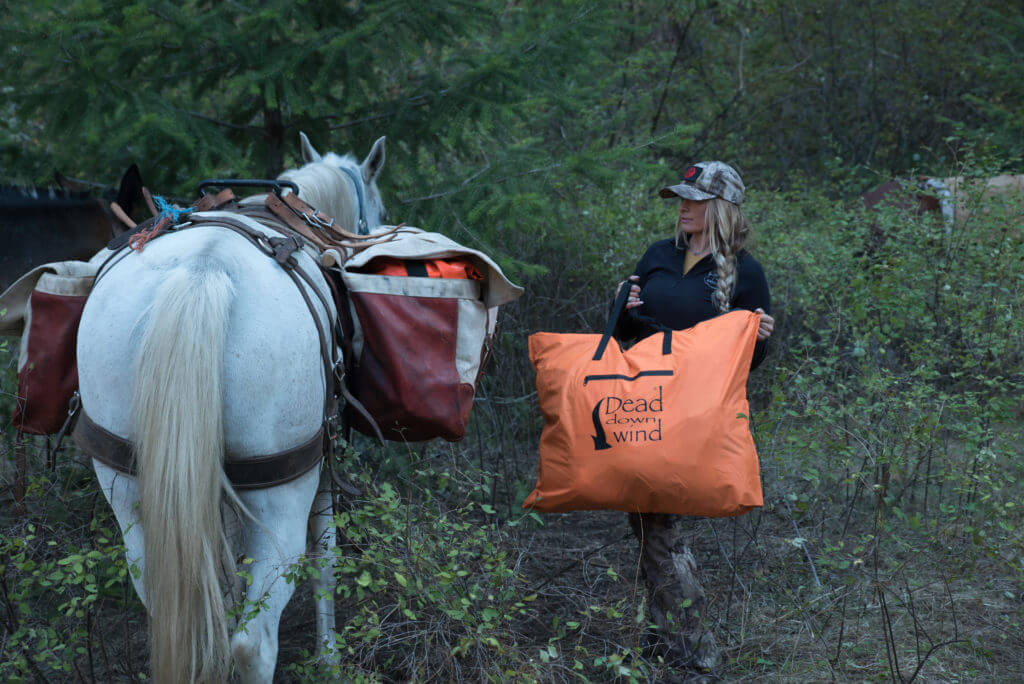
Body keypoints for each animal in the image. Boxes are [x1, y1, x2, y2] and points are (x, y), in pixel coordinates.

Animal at [75, 132, 386, 683]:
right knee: (253, 643)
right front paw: (329, 659)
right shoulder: (321, 468)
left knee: (171, 607)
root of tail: (203, 272)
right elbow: (325, 562)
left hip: (127, 486)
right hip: (281, 496)